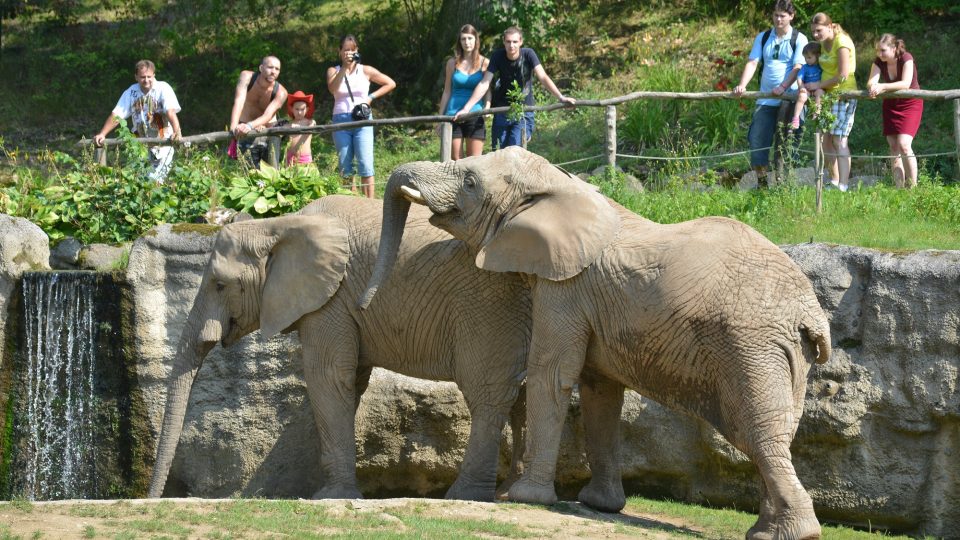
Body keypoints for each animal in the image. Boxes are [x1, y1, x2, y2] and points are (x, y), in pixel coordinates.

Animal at [148, 194, 532, 502]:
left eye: (219, 284)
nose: (152, 498)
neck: (277, 225)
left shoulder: (331, 298)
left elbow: (328, 378)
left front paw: (329, 496)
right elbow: (351, 381)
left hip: (487, 303)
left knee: (487, 394)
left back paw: (467, 495)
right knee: (524, 394)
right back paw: (508, 493)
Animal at [364, 148, 828, 540]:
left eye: (471, 181)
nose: (366, 302)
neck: (561, 186)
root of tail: (811, 314)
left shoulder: (564, 288)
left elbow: (551, 375)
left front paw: (526, 498)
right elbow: (599, 392)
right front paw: (599, 505)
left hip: (750, 345)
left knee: (756, 432)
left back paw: (793, 534)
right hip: (785, 354)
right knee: (779, 430)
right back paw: (765, 531)